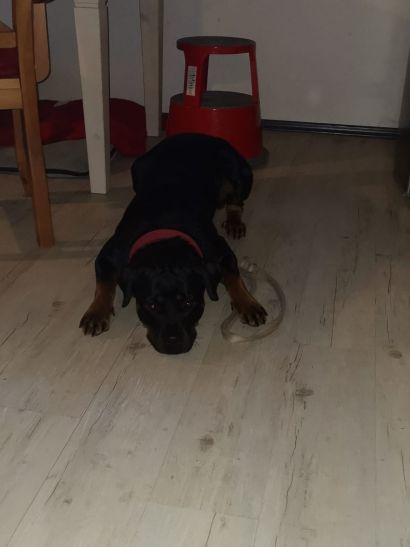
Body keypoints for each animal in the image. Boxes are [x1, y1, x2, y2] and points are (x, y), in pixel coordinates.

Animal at [80, 133, 267, 354]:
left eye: (188, 302)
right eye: (151, 306)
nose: (173, 342)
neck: (164, 234)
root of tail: (198, 135)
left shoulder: (220, 251)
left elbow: (234, 276)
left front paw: (247, 303)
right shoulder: (108, 256)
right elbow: (104, 284)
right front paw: (97, 312)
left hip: (239, 172)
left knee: (236, 201)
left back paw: (235, 221)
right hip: (137, 167)